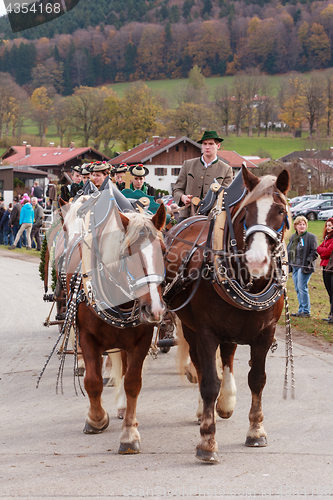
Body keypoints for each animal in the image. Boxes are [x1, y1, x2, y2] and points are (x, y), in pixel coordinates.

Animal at [60, 199, 166, 454]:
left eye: (164, 251)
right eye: (128, 253)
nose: (154, 309)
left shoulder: (141, 340)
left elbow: (132, 383)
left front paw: (129, 434)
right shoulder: (87, 337)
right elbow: (93, 381)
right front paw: (96, 419)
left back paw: (124, 408)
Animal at [165, 166, 290, 462]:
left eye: (280, 211)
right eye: (246, 212)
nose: (257, 260)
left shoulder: (265, 333)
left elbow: (257, 379)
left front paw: (256, 430)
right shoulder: (206, 332)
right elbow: (209, 381)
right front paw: (207, 442)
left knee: (229, 356)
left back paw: (226, 401)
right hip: (191, 328)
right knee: (200, 366)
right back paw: (205, 410)